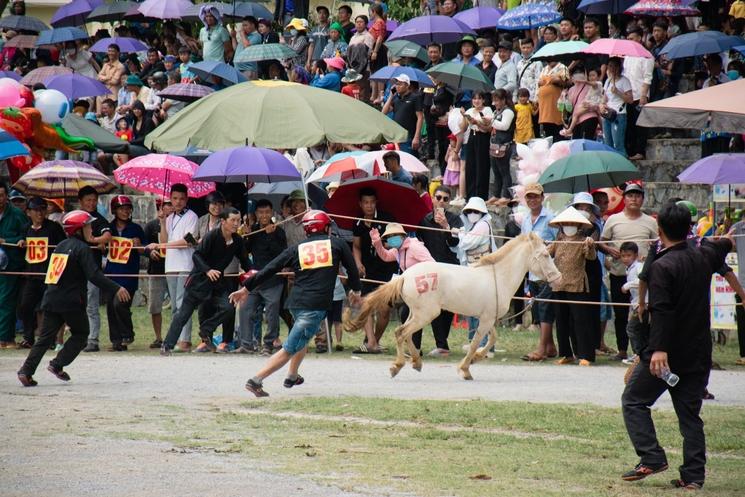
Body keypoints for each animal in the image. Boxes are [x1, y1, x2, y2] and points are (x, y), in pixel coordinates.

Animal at [344, 232, 562, 380]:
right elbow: (476, 342)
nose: (558, 279)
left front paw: (476, 358)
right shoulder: (486, 320)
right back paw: (398, 366)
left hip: (416, 313)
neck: (498, 277)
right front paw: (466, 369)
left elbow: (491, 339)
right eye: (545, 255)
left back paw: (416, 363)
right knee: (401, 332)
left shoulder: (488, 318)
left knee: (406, 334)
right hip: (427, 314)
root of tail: (405, 276)